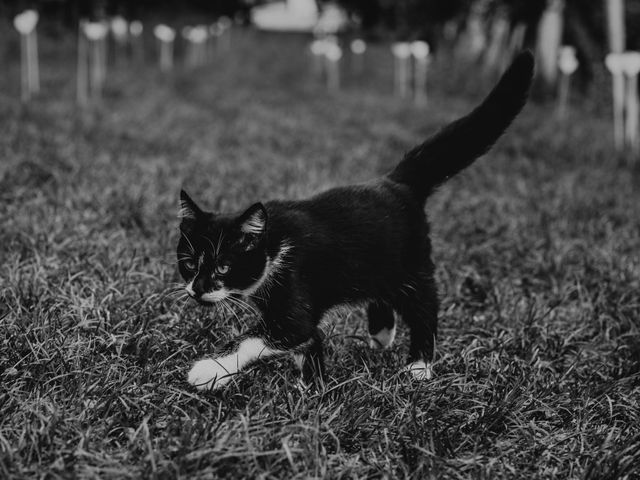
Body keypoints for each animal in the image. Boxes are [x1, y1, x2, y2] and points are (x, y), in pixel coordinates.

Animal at [178, 50, 532, 392]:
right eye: (189, 263)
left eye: (224, 267)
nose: (197, 289)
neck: (274, 246)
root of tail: (395, 183)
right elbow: (309, 339)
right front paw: (311, 386)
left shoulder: (293, 296)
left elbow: (264, 337)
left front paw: (210, 370)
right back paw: (382, 333)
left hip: (412, 262)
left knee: (424, 306)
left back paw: (420, 365)